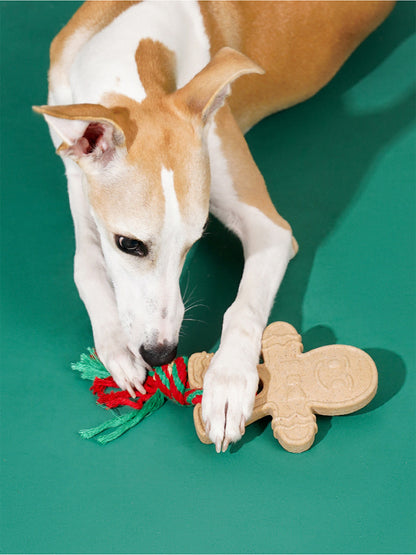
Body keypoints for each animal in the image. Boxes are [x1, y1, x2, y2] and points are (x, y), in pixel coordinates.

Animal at [34, 0, 394, 452]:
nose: (161, 354)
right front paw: (117, 347)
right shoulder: (78, 182)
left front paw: (228, 384)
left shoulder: (270, 228)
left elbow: (243, 306)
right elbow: (86, 266)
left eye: (194, 242)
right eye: (128, 244)